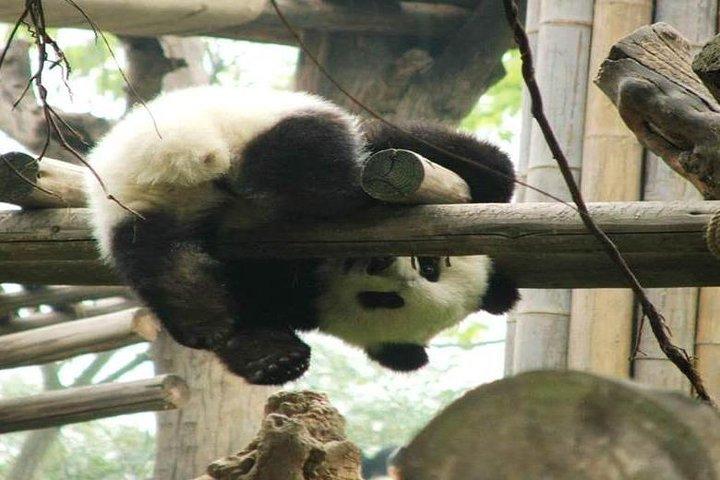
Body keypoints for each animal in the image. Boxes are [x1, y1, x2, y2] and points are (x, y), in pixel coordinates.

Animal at [85, 86, 519, 385]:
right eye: (429, 266)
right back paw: (348, 191)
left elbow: (252, 304)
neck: (323, 270)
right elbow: (461, 157)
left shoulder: (292, 292)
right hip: (261, 121)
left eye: (386, 301)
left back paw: (199, 314)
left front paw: (272, 359)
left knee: (160, 261)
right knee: (312, 162)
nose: (380, 262)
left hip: (136, 214)